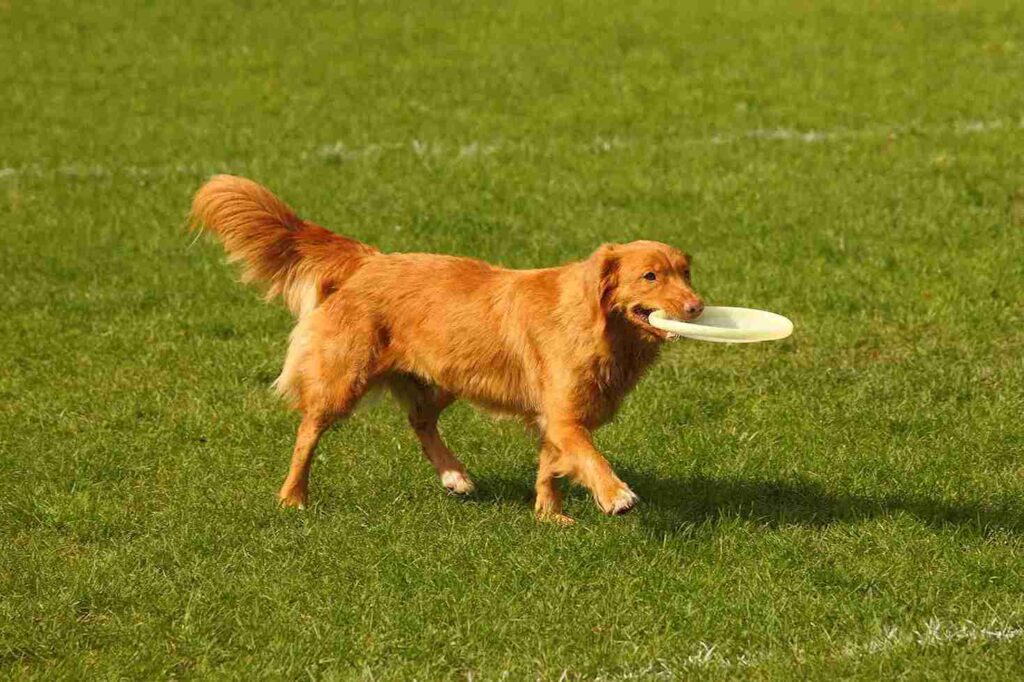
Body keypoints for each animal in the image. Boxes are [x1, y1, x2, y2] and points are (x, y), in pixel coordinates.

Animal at [190, 175, 704, 520]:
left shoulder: (552, 416)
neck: (599, 325)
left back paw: (454, 476)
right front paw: (615, 495)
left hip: (449, 374)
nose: (697, 307)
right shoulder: (564, 416)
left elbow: (550, 465)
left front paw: (548, 515)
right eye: (650, 276)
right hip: (344, 381)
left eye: (685, 272)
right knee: (307, 434)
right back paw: (293, 498)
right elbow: (590, 457)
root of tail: (368, 260)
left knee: (420, 421)